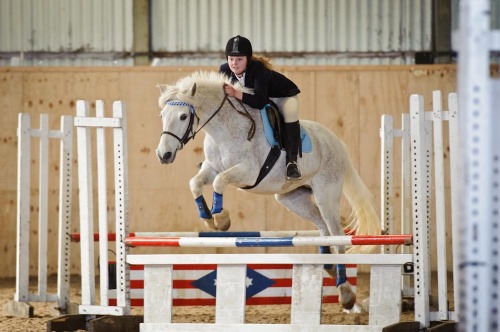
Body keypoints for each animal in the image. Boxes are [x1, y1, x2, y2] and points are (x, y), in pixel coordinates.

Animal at [155, 70, 378, 312]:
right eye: (163, 115)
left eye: (183, 117)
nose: (164, 155)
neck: (223, 130)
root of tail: (336, 142)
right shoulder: (212, 168)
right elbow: (195, 183)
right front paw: (208, 218)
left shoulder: (248, 173)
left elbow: (219, 182)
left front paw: (221, 219)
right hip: (292, 198)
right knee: (323, 229)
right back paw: (328, 267)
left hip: (326, 194)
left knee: (338, 236)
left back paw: (346, 294)